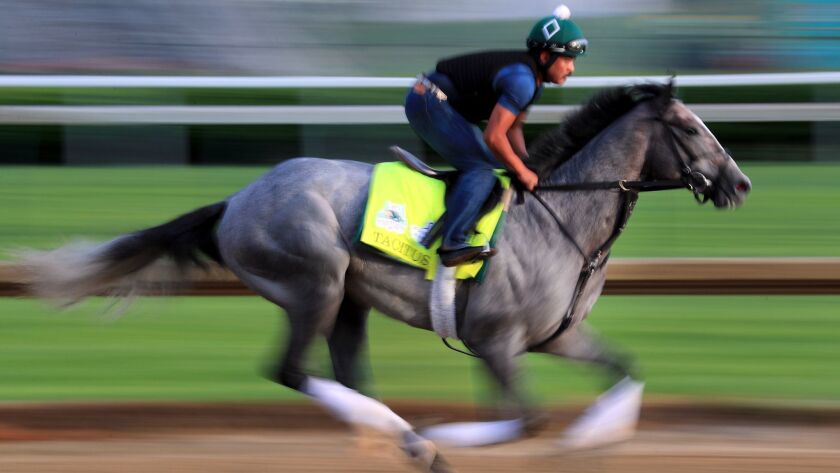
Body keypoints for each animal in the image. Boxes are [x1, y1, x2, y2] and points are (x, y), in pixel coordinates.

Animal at [16, 83, 748, 470]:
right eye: (690, 128)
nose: (739, 183)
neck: (560, 216)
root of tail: (236, 200)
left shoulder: (557, 335)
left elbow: (625, 369)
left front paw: (594, 436)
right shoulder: (497, 341)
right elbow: (527, 419)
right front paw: (452, 434)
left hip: (348, 302)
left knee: (344, 375)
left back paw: (402, 435)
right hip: (314, 283)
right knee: (292, 369)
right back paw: (415, 438)